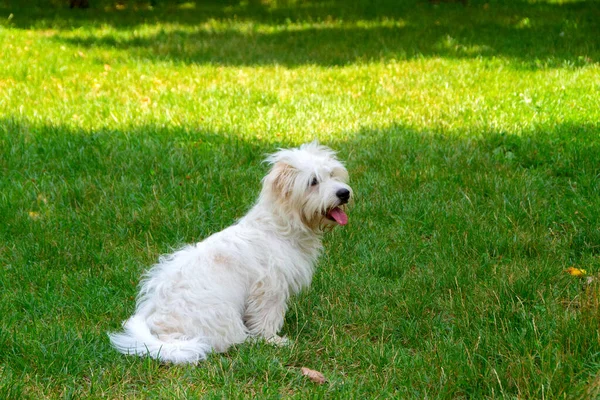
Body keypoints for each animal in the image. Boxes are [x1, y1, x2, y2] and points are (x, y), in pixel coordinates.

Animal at [108, 142, 352, 364]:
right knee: (232, 341)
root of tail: (162, 334)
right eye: (313, 181)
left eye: (332, 174)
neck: (281, 226)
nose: (344, 193)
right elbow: (267, 317)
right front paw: (272, 340)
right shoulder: (269, 288)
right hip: (223, 313)